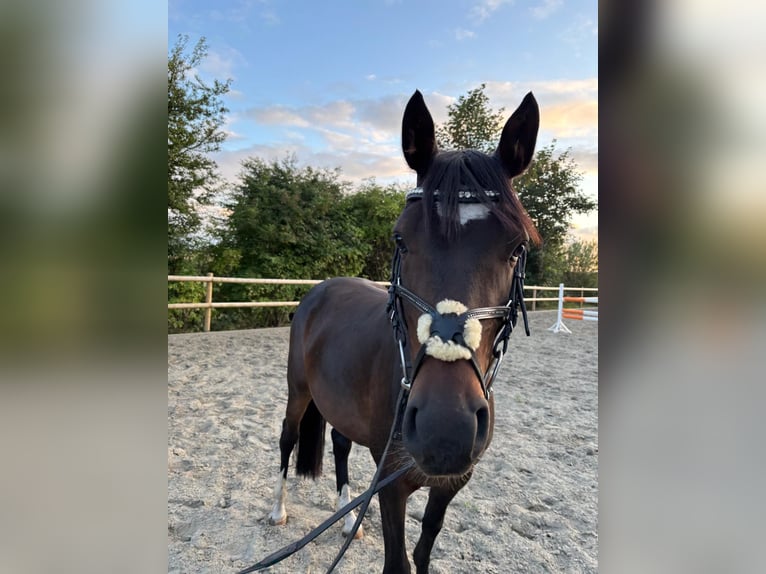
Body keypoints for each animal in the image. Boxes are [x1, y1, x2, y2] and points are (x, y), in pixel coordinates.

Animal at [266, 89, 541, 573]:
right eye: (401, 240)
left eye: (516, 248)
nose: (444, 428)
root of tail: (320, 290)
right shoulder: (391, 487)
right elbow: (399, 561)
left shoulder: (451, 483)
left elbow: (424, 547)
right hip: (297, 392)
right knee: (287, 438)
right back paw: (278, 510)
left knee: (339, 443)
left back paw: (346, 518)